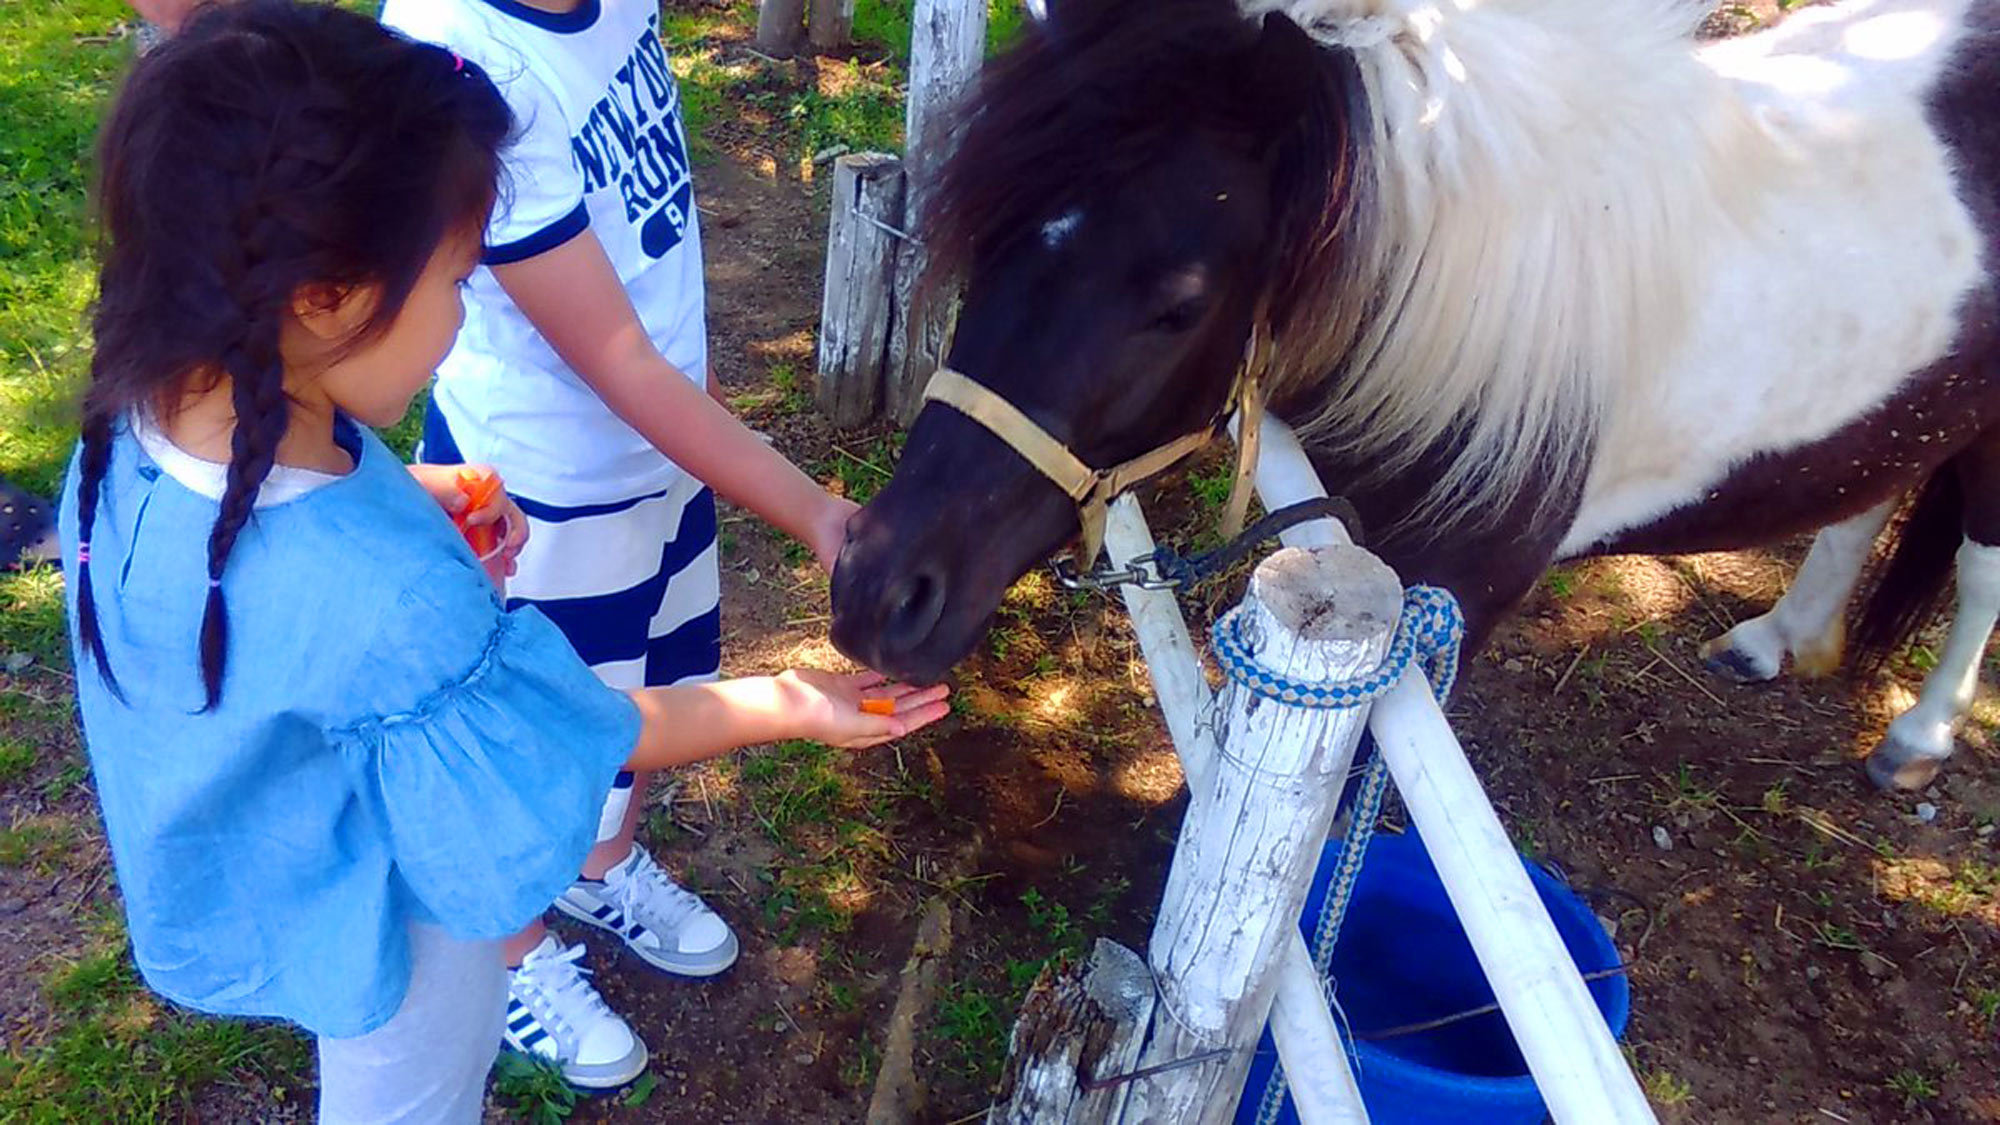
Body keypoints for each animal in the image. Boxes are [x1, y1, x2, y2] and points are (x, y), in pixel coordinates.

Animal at [820, 0, 1992, 788]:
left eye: (1177, 303)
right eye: (991, 233)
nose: (879, 593)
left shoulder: (1441, 619)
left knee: (1974, 580)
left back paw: (1915, 744)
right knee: (1862, 498)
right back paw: (1774, 638)